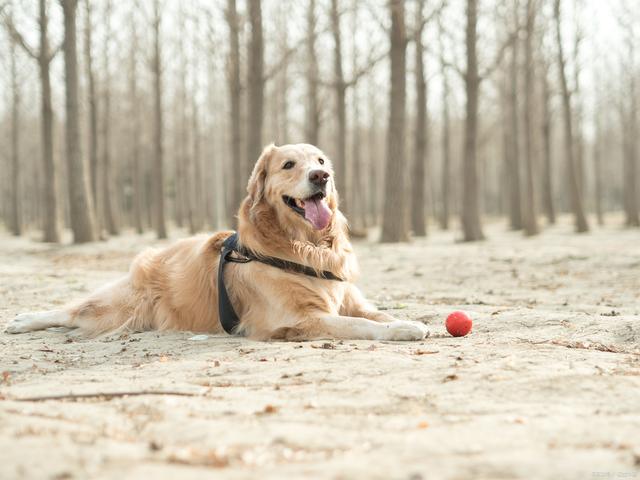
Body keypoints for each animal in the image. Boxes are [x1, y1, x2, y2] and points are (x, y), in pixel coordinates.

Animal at [5, 143, 430, 342]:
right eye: (288, 165)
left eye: (322, 162)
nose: (320, 177)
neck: (305, 246)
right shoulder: (297, 319)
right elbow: (357, 326)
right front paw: (403, 330)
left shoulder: (352, 301)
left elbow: (377, 315)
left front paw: (411, 320)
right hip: (121, 305)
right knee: (72, 310)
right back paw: (24, 320)